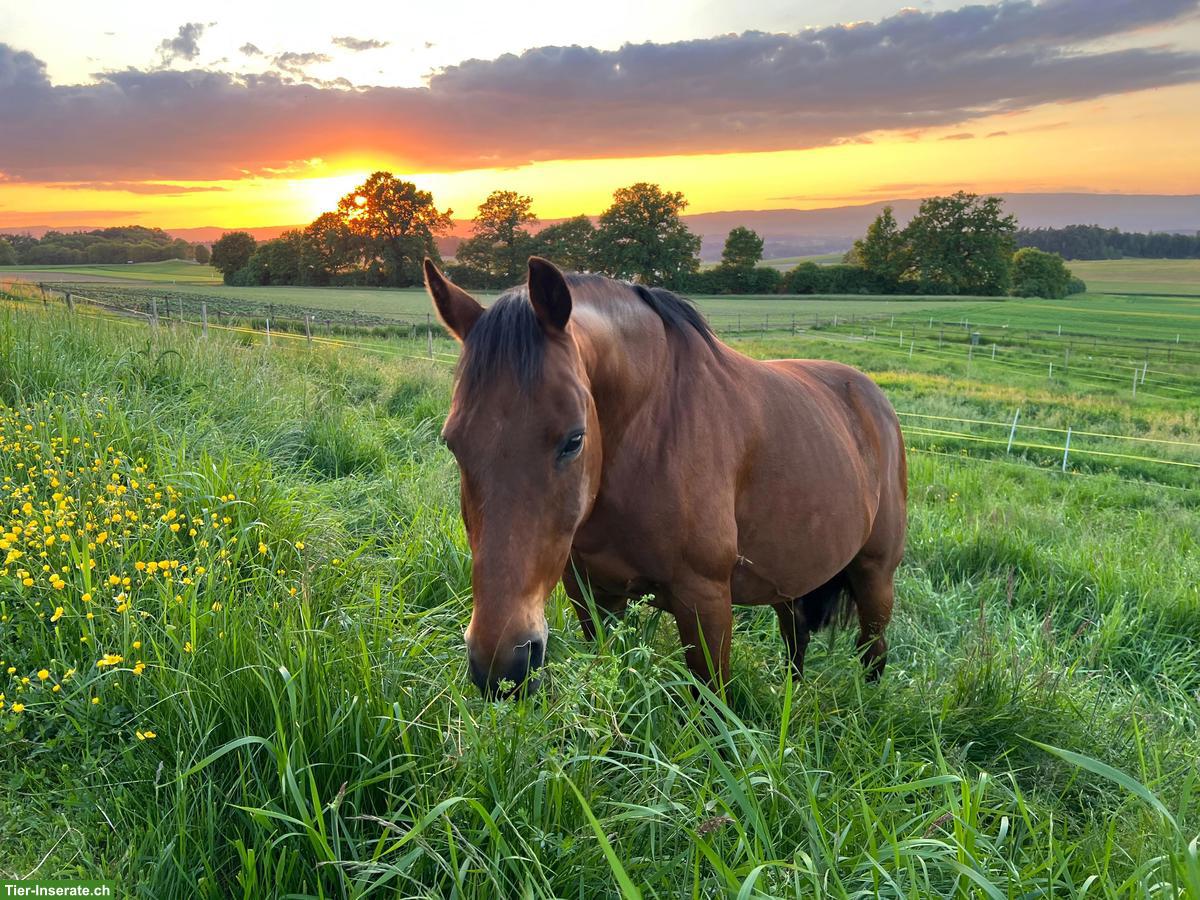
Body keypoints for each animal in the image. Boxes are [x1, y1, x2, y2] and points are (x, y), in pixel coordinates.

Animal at [424, 256, 907, 698]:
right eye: (452, 443)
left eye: (574, 440)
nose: (501, 665)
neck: (649, 433)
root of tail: (873, 397)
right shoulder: (591, 593)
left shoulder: (705, 601)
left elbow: (712, 704)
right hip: (791, 579)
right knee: (796, 637)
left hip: (875, 577)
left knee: (873, 650)